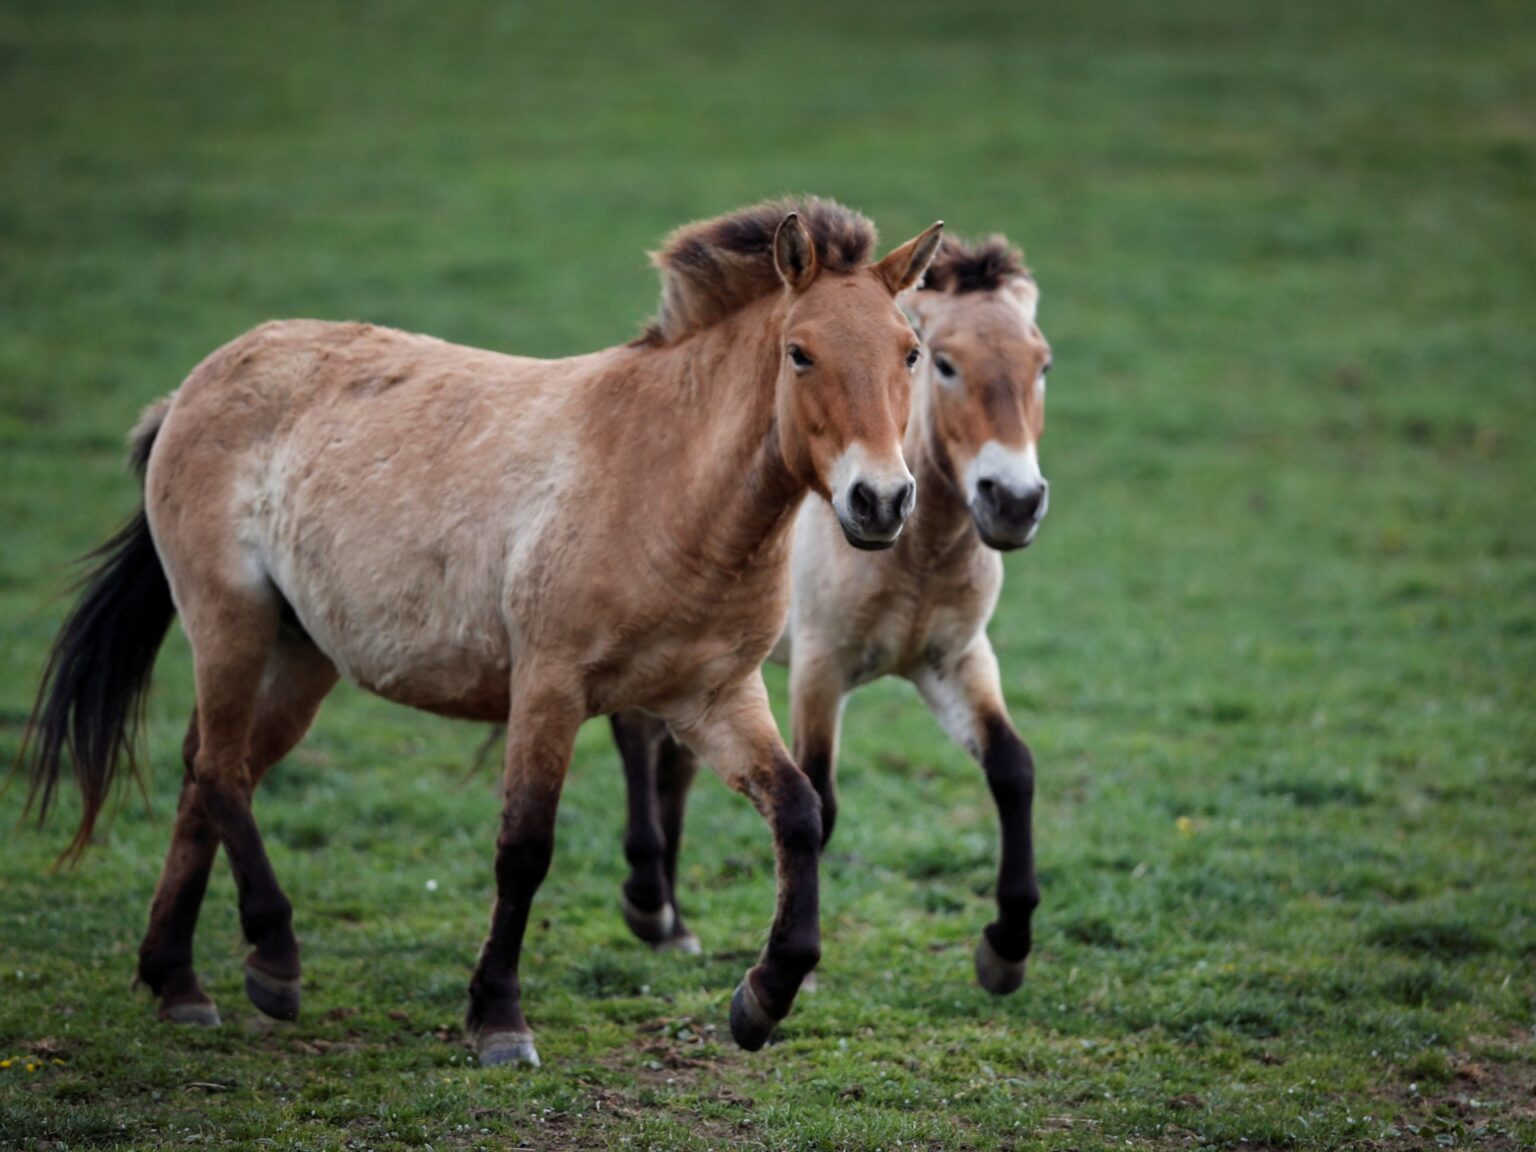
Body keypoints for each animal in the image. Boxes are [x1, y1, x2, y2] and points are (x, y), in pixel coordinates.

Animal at [19, 197, 944, 1068]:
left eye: (910, 352)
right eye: (800, 352)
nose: (880, 501)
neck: (666, 484)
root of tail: (191, 389)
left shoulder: (712, 698)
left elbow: (799, 812)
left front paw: (762, 999)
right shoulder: (548, 687)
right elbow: (524, 849)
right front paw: (499, 1019)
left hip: (300, 654)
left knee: (212, 770)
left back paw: (176, 979)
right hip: (228, 619)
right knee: (218, 770)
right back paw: (273, 960)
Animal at [610, 236, 1050, 997]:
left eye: (1042, 364)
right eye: (945, 363)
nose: (1014, 502)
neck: (918, 556)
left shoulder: (956, 660)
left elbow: (1012, 768)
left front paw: (1005, 949)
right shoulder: (820, 668)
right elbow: (822, 796)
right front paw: (795, 973)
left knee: (674, 762)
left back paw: (674, 924)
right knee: (637, 738)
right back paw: (648, 905)